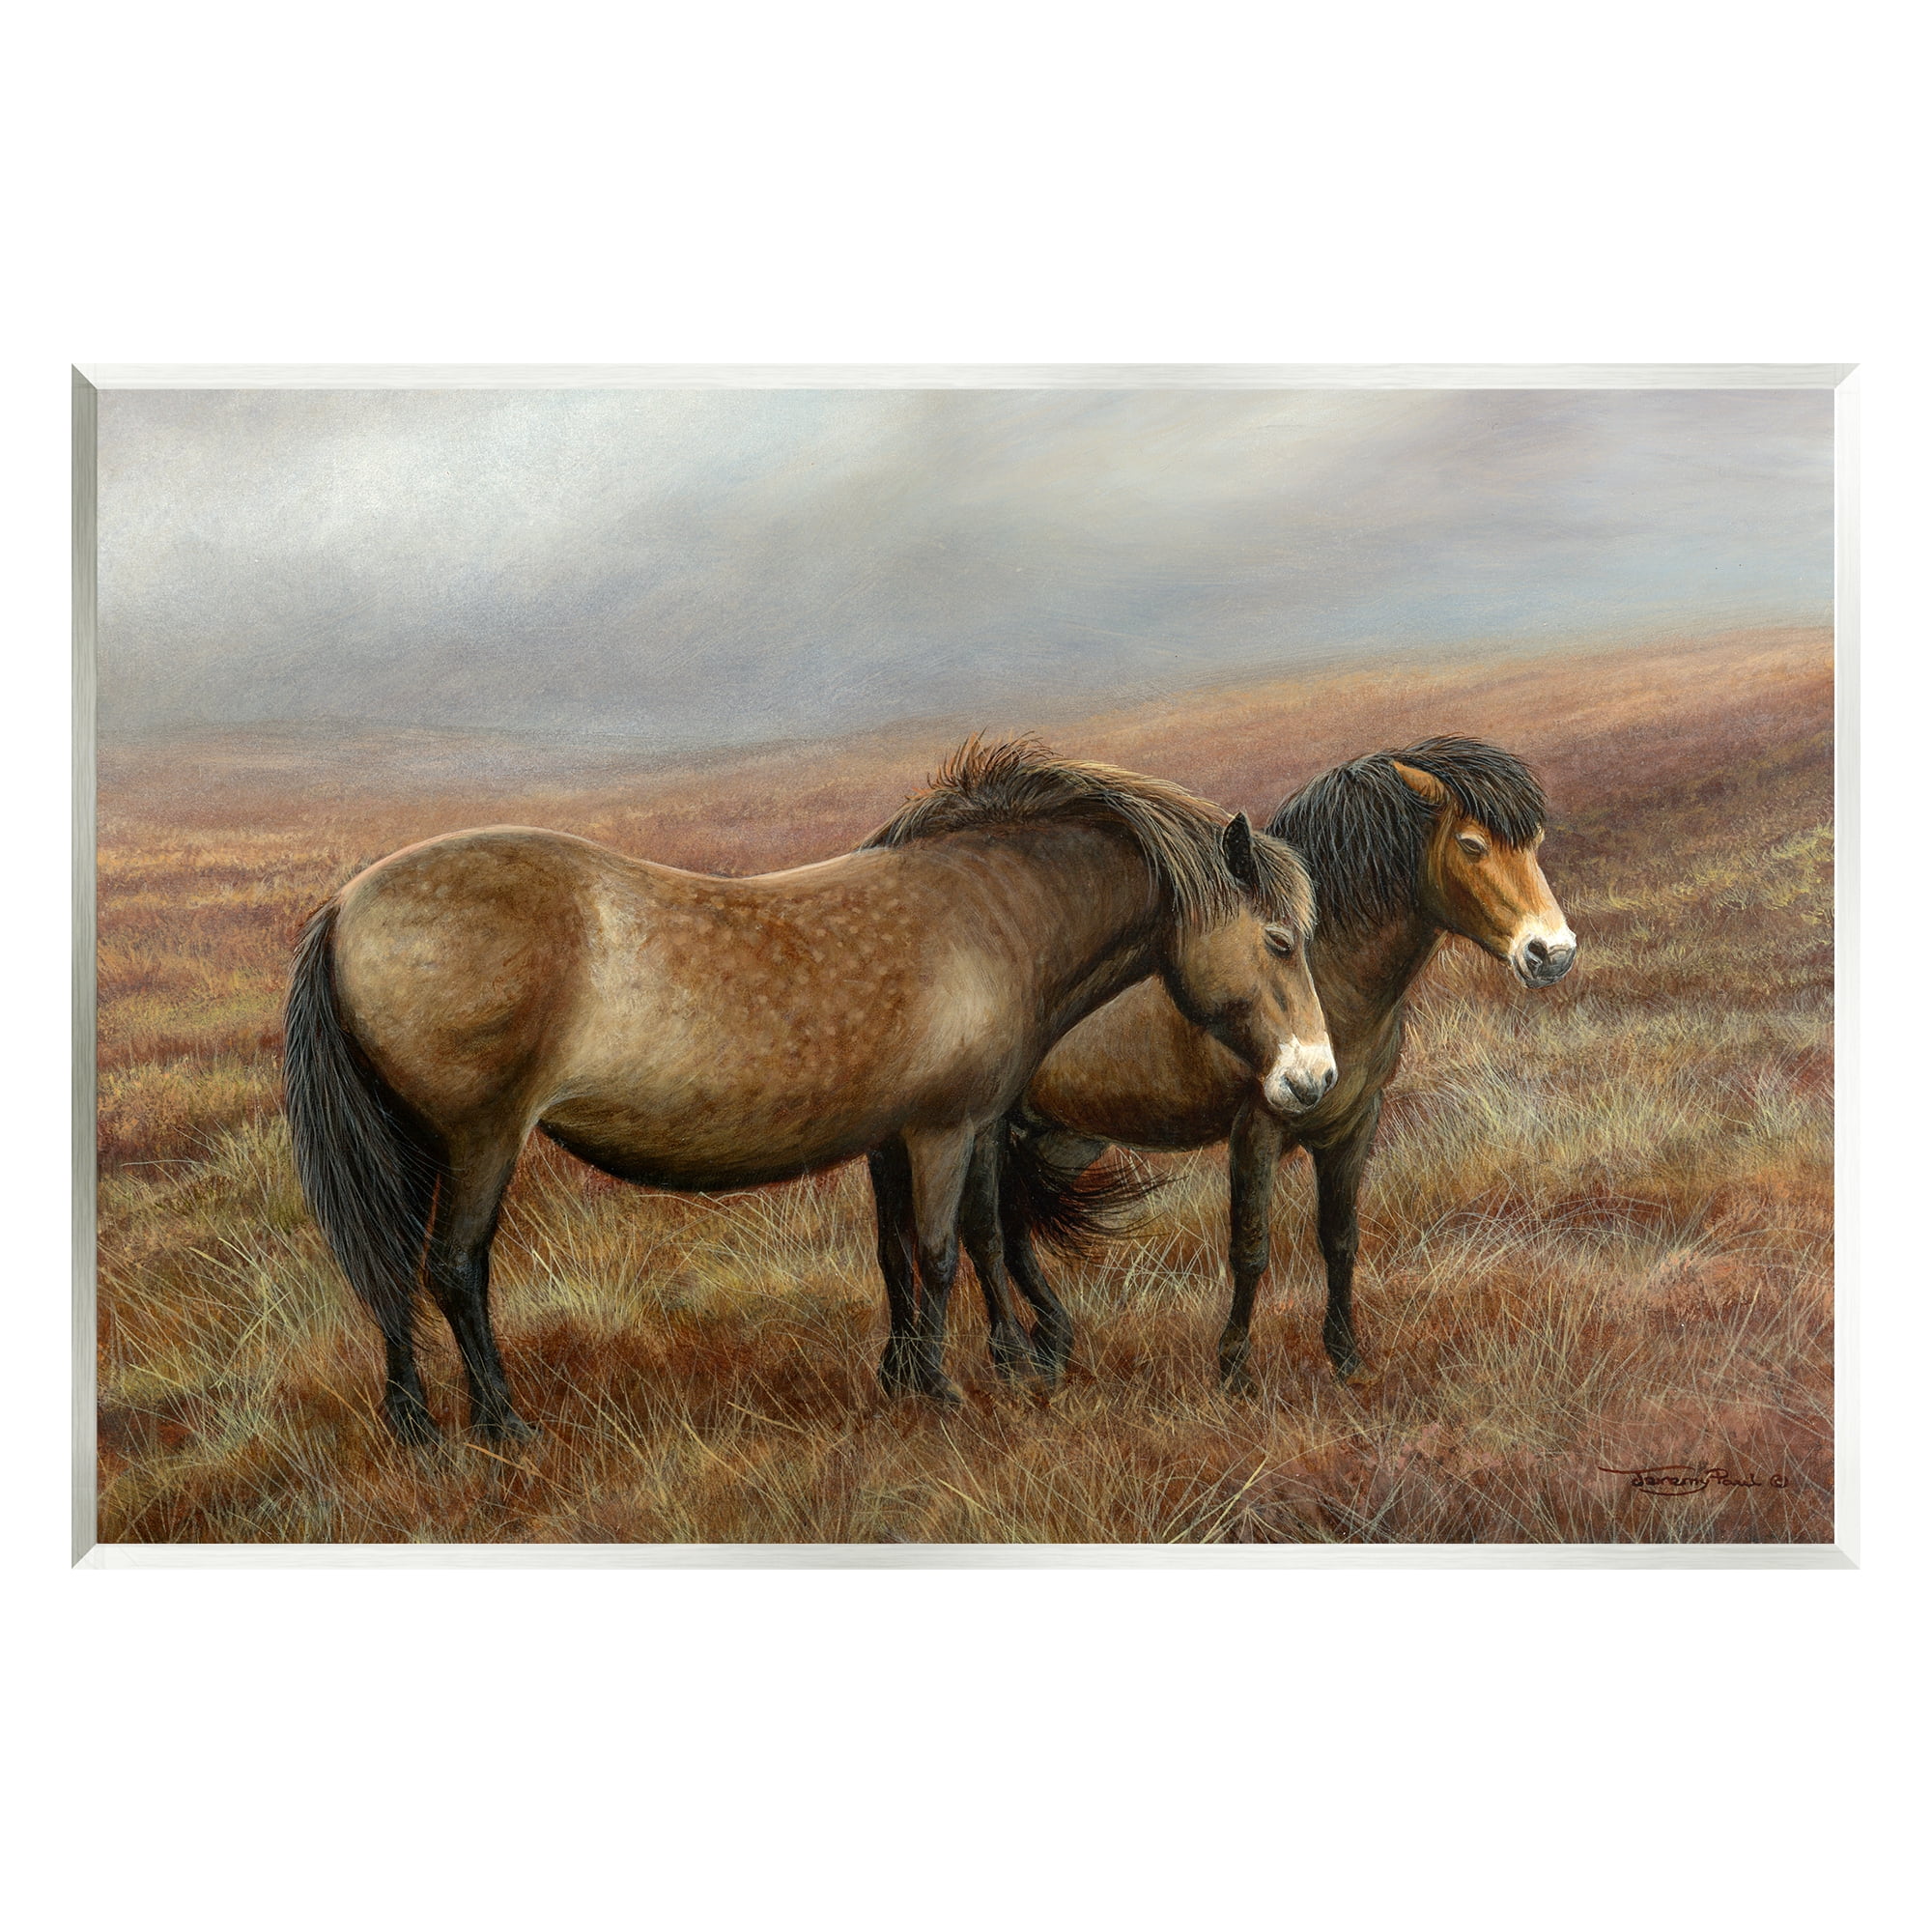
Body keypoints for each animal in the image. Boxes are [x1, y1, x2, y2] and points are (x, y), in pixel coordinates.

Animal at [283, 737, 1335, 1442]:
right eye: (1279, 940)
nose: (1313, 1076)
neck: (994, 911)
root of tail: (344, 905)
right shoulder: (945, 1129)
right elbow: (943, 1252)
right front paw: (948, 1390)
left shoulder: (906, 1135)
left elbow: (918, 1251)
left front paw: (923, 1372)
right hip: (479, 1140)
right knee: (453, 1268)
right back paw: (501, 1424)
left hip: (413, 1143)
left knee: (386, 1268)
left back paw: (415, 1425)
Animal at [969, 737, 1575, 1393]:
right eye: (1471, 844)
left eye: (1536, 843)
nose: (1553, 954)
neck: (1325, 974)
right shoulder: (1255, 1130)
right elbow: (1250, 1248)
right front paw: (1233, 1367)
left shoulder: (1353, 1125)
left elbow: (1340, 1239)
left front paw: (1346, 1357)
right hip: (990, 1131)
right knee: (992, 1227)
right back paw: (1026, 1354)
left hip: (1067, 1134)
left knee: (1016, 1218)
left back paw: (1053, 1344)